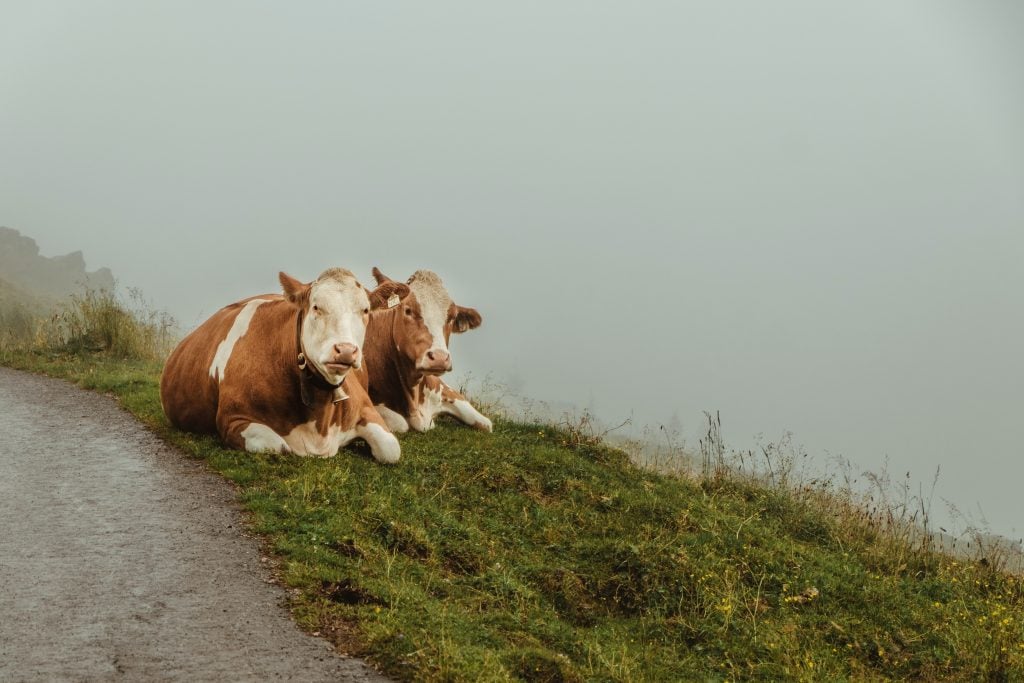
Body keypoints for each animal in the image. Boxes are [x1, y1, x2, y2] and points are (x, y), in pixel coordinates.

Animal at [160, 268, 409, 463]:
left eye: (365, 310)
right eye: (316, 307)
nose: (346, 350)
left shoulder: (364, 408)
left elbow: (391, 450)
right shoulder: (232, 420)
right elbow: (282, 447)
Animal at [363, 267, 493, 434]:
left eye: (452, 317)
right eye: (408, 310)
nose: (439, 358)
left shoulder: (440, 385)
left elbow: (485, 423)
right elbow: (400, 423)